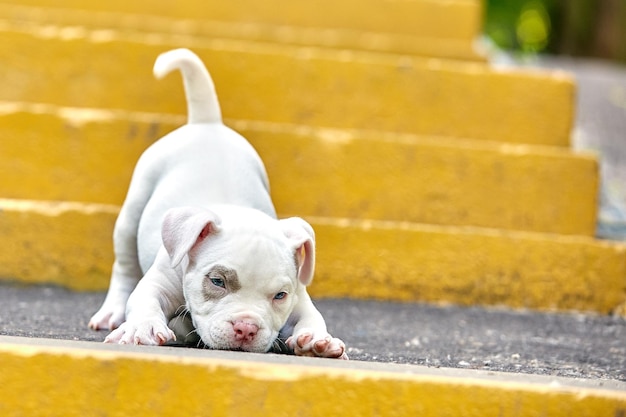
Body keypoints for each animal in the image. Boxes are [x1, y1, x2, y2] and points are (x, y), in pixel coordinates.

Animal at [89, 48, 346, 358]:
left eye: (279, 295)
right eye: (217, 282)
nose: (246, 328)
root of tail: (207, 122)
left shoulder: (298, 295)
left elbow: (311, 315)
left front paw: (319, 340)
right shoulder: (161, 279)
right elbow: (144, 299)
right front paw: (142, 328)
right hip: (133, 210)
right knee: (125, 266)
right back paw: (111, 312)